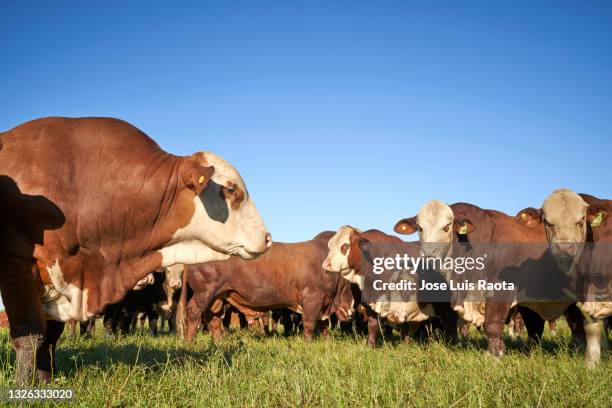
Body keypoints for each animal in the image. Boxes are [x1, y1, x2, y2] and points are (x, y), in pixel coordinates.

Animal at [0, 116, 270, 384]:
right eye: (232, 189)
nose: (267, 238)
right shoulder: (17, 262)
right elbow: (30, 336)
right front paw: (25, 387)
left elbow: (51, 337)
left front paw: (46, 380)